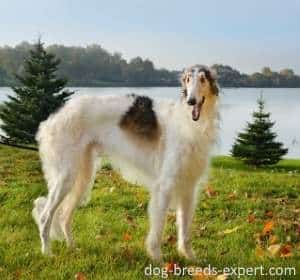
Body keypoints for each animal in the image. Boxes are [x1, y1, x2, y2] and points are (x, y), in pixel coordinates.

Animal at [32, 64, 219, 262]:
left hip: (83, 177)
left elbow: (185, 231)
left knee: (64, 217)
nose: (191, 101)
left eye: (203, 79)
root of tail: (51, 120)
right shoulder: (165, 186)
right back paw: (47, 253)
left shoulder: (189, 188)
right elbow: (158, 229)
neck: (189, 124)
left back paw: (72, 247)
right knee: (45, 216)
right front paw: (157, 259)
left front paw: (190, 258)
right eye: (188, 79)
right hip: (66, 176)